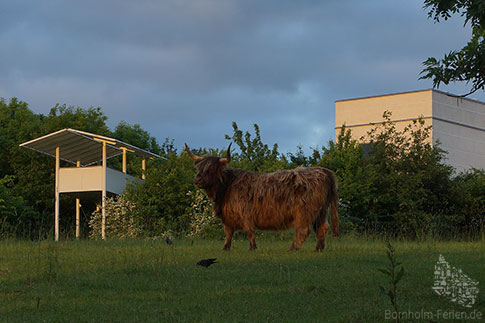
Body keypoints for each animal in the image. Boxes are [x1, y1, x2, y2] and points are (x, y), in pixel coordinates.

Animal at [183, 144, 338, 253]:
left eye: (211, 169)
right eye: (198, 168)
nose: (197, 179)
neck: (226, 187)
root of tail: (323, 171)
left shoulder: (245, 213)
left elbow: (249, 231)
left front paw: (252, 248)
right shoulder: (228, 216)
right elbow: (228, 233)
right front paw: (225, 248)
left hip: (305, 211)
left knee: (304, 230)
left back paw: (292, 248)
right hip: (321, 211)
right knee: (322, 227)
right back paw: (318, 248)